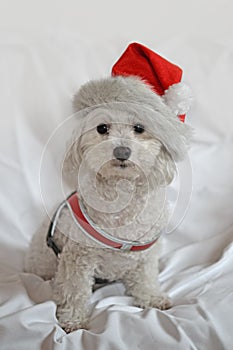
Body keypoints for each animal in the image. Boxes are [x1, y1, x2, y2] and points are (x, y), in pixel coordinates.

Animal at [24, 73, 191, 330]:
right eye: (102, 128)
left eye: (139, 128)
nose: (122, 152)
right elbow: (75, 289)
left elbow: (146, 278)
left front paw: (151, 297)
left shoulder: (146, 256)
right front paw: (73, 319)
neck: (122, 190)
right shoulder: (77, 258)